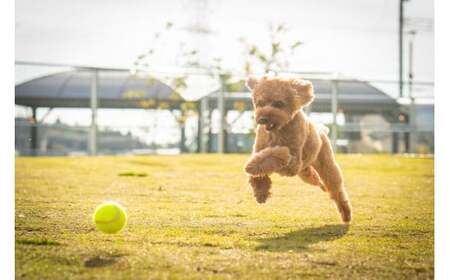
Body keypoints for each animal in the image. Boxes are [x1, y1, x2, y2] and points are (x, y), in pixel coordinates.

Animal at [244, 75, 354, 223]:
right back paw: (322, 186)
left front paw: (252, 166)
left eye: (278, 104)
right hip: (305, 172)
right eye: (260, 103)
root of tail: (321, 130)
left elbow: (279, 153)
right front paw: (261, 192)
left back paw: (346, 213)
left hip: (325, 166)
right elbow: (258, 174)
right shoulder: (259, 150)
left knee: (336, 188)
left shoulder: (293, 164)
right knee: (317, 180)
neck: (278, 131)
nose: (262, 118)